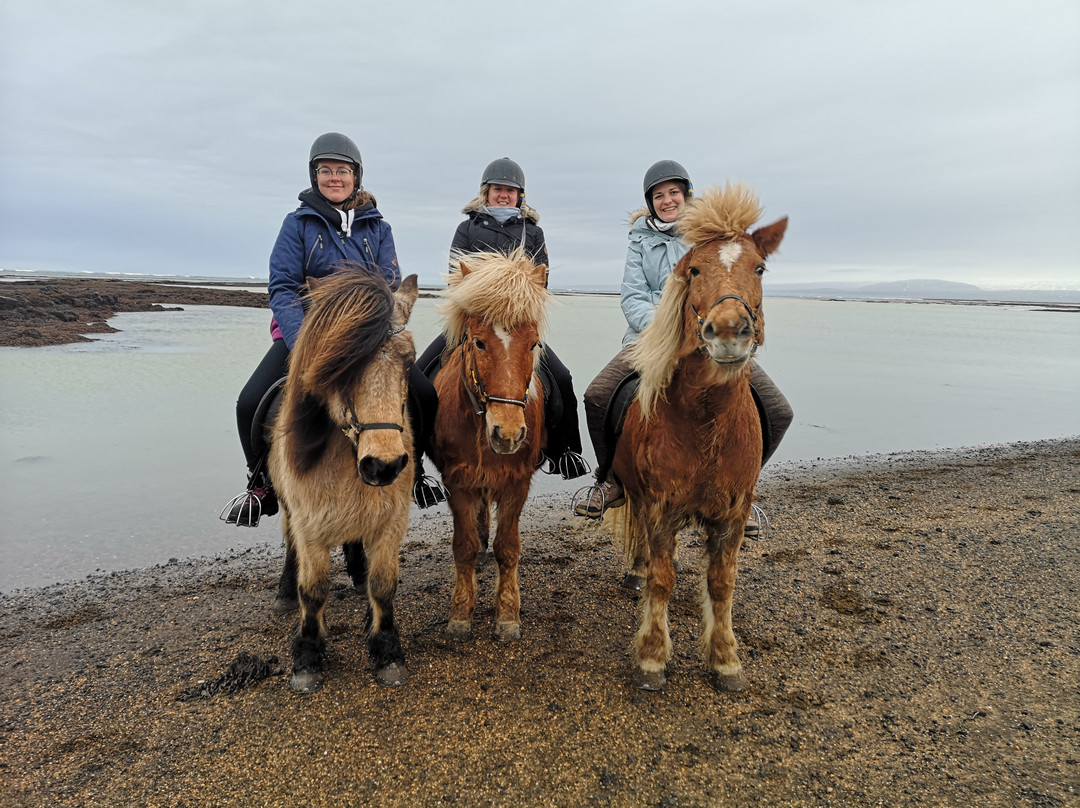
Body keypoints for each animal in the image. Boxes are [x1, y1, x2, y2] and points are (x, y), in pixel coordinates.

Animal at [267, 267, 419, 691]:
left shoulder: (390, 521)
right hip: (288, 512)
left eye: (409, 359)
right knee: (290, 550)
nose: (384, 465)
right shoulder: (309, 526)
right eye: (341, 365)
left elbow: (383, 585)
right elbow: (313, 590)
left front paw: (387, 650)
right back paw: (284, 592)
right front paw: (306, 657)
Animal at [427, 249, 552, 639]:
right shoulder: (458, 481)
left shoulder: (517, 482)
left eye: (533, 343)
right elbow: (464, 547)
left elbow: (507, 548)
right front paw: (460, 613)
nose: (507, 433)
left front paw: (508, 615)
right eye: (479, 341)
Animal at [613, 184, 790, 695]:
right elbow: (662, 580)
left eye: (760, 267)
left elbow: (721, 584)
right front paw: (652, 658)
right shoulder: (660, 507)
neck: (706, 423)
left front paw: (726, 659)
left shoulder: (733, 515)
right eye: (693, 269)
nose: (728, 331)